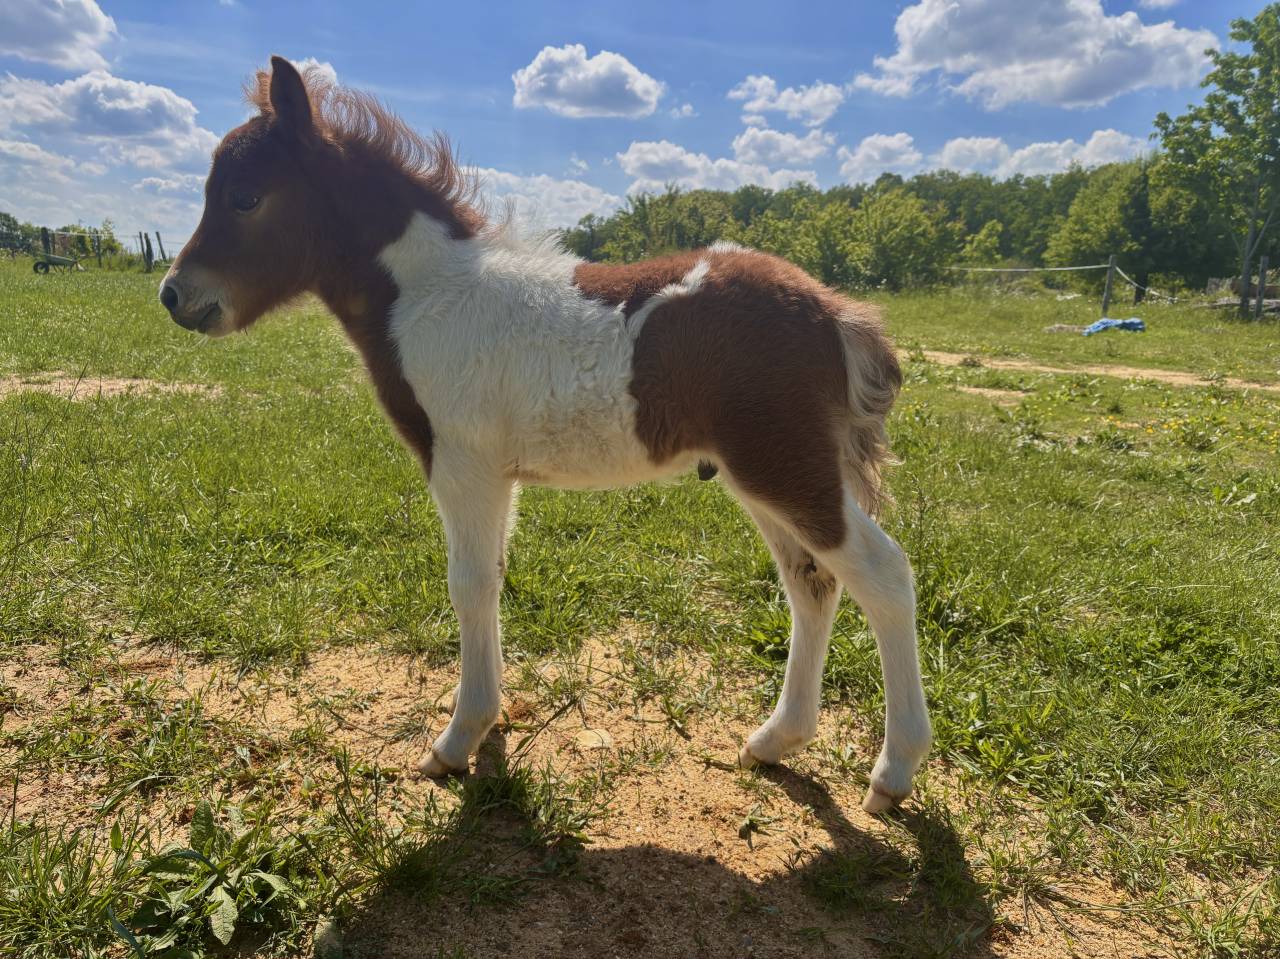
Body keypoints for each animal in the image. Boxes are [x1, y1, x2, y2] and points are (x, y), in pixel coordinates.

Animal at [159, 56, 931, 813]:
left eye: (246, 198)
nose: (173, 295)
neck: (429, 297)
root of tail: (833, 312)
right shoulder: (496, 474)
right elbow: (495, 576)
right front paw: (489, 729)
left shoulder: (460, 463)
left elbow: (468, 583)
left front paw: (456, 741)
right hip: (763, 476)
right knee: (813, 583)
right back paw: (775, 741)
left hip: (785, 467)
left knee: (883, 573)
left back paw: (893, 770)